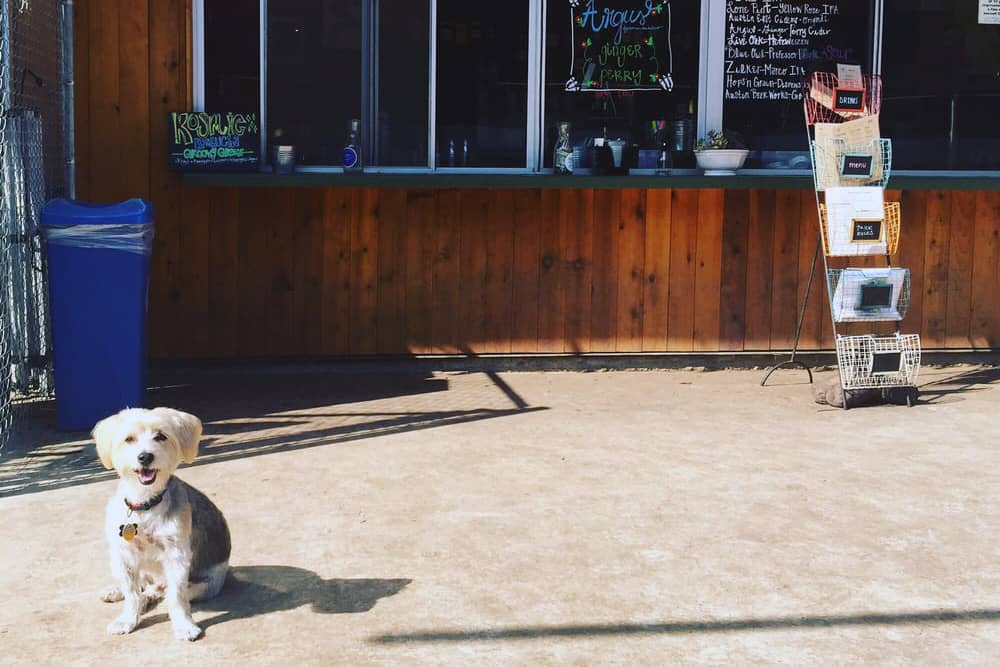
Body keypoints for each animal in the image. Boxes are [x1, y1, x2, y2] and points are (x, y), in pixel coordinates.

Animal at [92, 408, 229, 640]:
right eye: (129, 439)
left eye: (161, 437)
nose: (145, 456)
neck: (145, 505)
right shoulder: (124, 555)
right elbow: (131, 592)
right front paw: (127, 619)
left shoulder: (176, 555)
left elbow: (177, 596)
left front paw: (184, 625)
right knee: (140, 586)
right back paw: (117, 591)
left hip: (204, 586)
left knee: (160, 593)